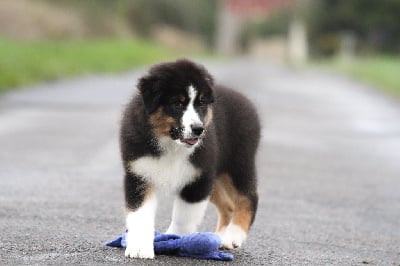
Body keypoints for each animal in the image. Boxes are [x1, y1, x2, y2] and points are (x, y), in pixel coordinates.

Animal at [120, 58, 260, 258]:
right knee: (228, 205)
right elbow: (140, 215)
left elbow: (184, 217)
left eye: (201, 103)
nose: (198, 129)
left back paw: (233, 235)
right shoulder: (139, 174)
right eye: (177, 104)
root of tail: (245, 100)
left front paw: (175, 240)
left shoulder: (197, 179)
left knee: (248, 197)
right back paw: (220, 236)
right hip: (215, 177)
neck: (171, 144)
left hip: (238, 164)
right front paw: (139, 248)